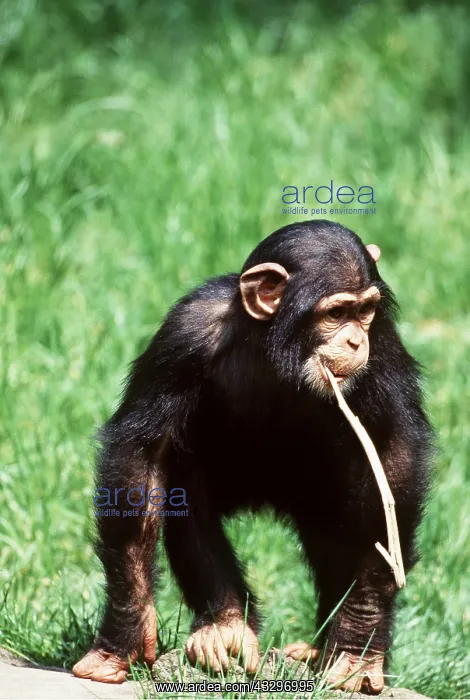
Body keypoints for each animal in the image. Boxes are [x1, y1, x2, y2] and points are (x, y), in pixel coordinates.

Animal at [73, 219, 432, 694]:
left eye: (366, 310)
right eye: (336, 314)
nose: (356, 340)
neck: (276, 344)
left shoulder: (384, 339)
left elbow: (393, 459)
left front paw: (359, 644)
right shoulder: (184, 333)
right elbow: (141, 458)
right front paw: (124, 635)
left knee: (343, 519)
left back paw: (323, 649)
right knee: (184, 491)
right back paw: (225, 628)